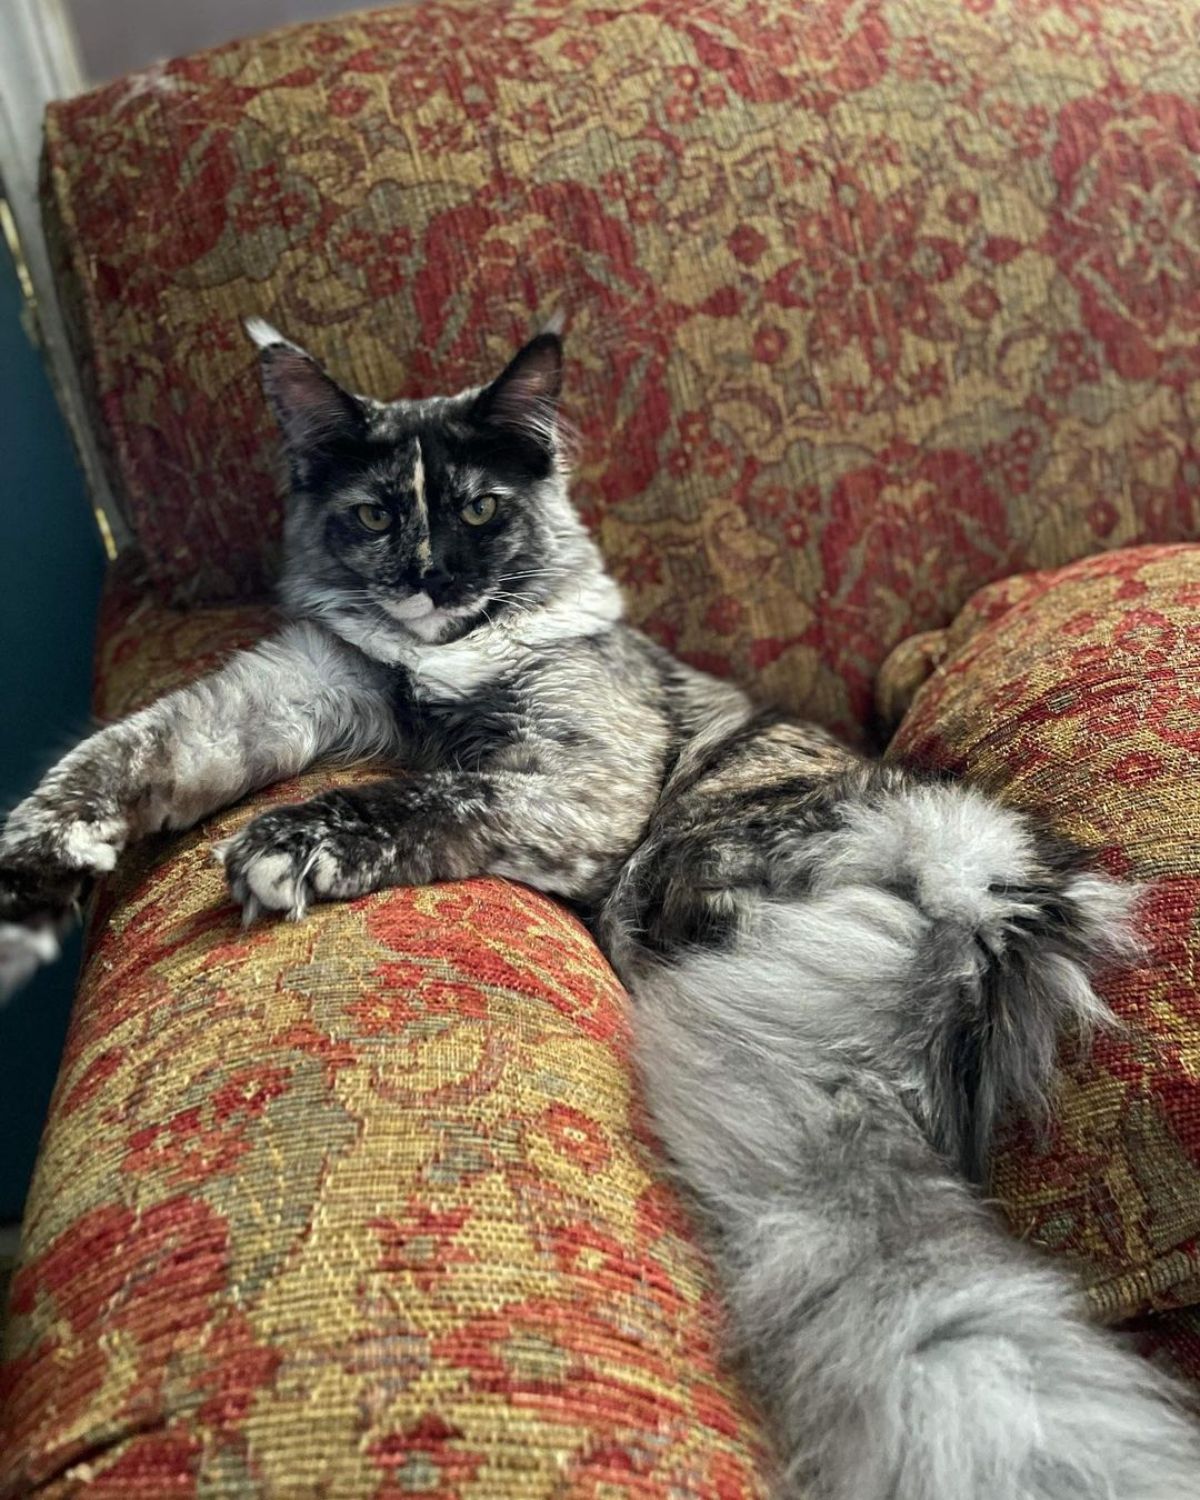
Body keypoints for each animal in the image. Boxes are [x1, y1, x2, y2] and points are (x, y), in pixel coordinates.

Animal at [2, 319, 1200, 1500]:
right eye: (377, 513)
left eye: (482, 509)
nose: (430, 579)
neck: (434, 669)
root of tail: (981, 883)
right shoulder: (291, 690)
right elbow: (132, 749)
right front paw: (40, 864)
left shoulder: (574, 781)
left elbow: (427, 796)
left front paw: (290, 847)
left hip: (664, 868)